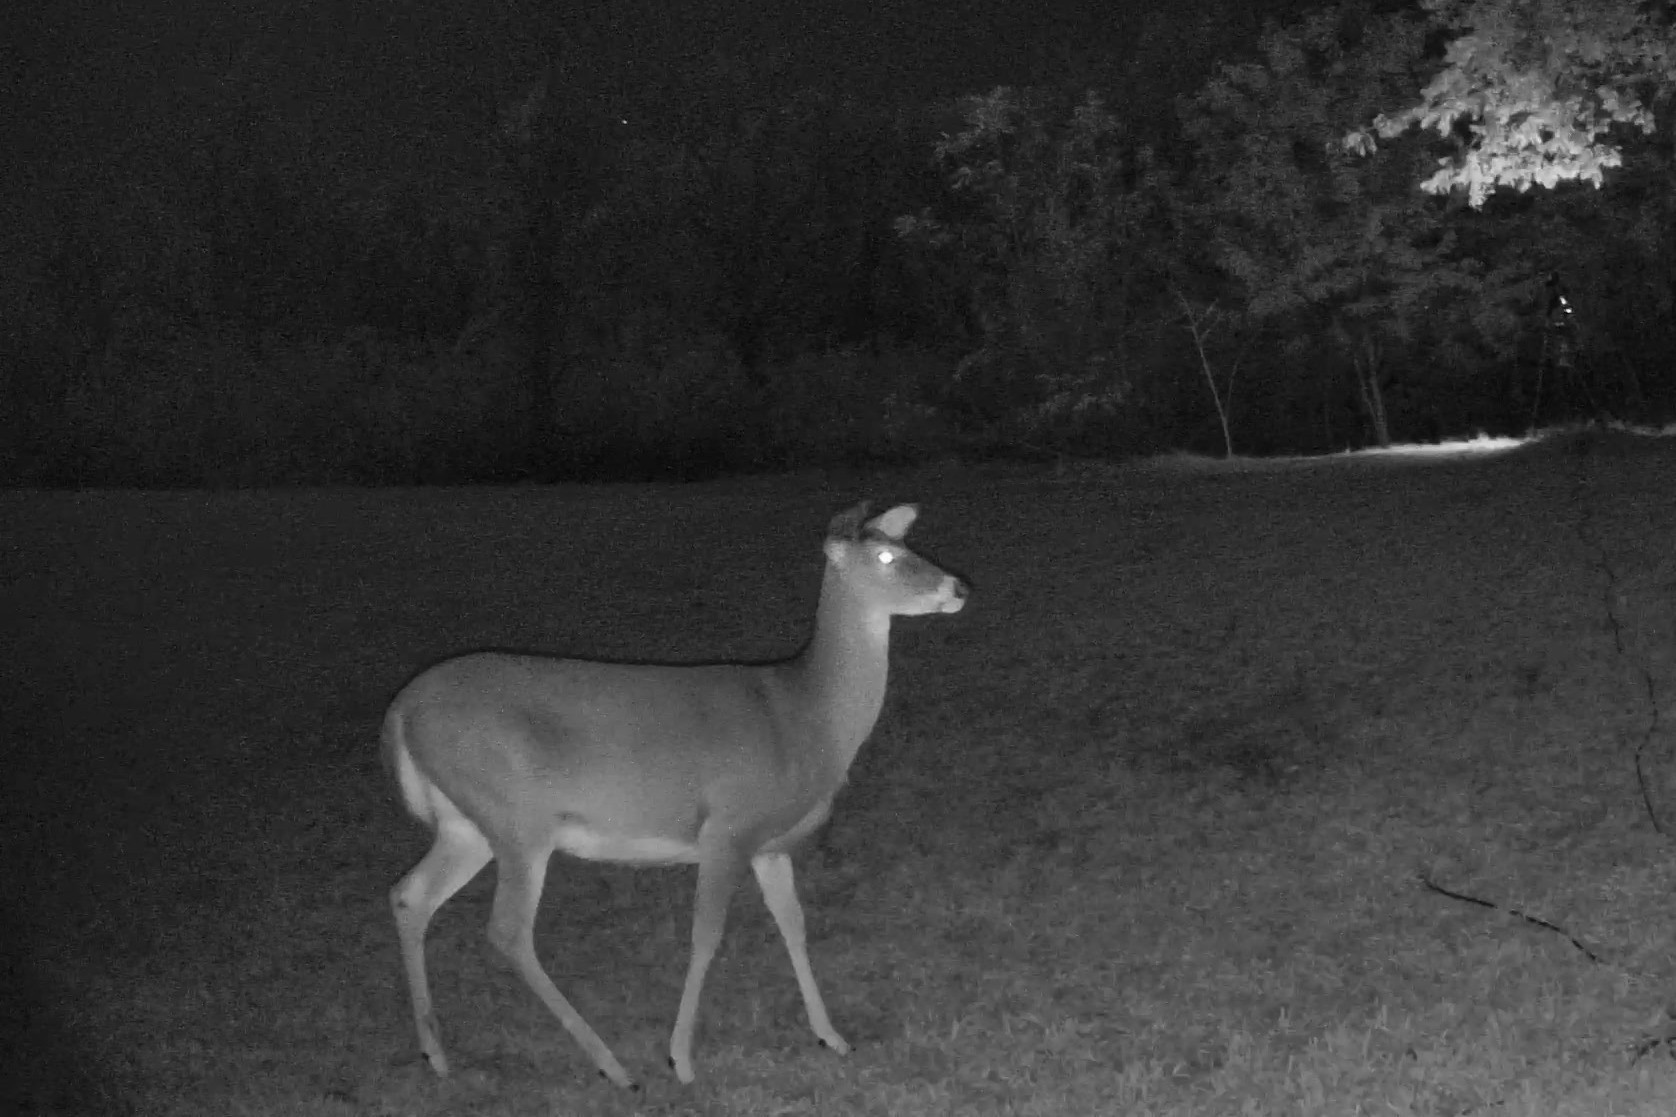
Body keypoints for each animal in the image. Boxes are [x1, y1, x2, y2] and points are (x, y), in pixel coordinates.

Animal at [383, 502, 968, 1088]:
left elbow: (794, 925)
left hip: (467, 823)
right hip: (516, 819)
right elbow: (706, 936)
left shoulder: (771, 845)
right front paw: (681, 1060)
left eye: (908, 546)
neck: (807, 716)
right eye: (886, 556)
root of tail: (401, 711)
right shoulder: (728, 827)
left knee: (411, 895)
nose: (959, 586)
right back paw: (614, 1066)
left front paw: (833, 1037)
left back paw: (436, 1054)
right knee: (507, 930)